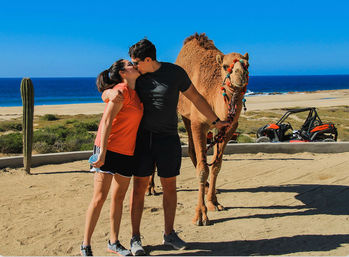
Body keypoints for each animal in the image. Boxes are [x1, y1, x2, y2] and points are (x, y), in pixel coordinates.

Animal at [177, 32, 247, 224]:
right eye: (225, 66)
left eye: (247, 65)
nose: (241, 75)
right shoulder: (198, 123)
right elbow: (203, 169)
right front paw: (200, 214)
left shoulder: (228, 127)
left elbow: (216, 165)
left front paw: (213, 202)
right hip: (185, 115)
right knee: (192, 150)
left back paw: (209, 188)